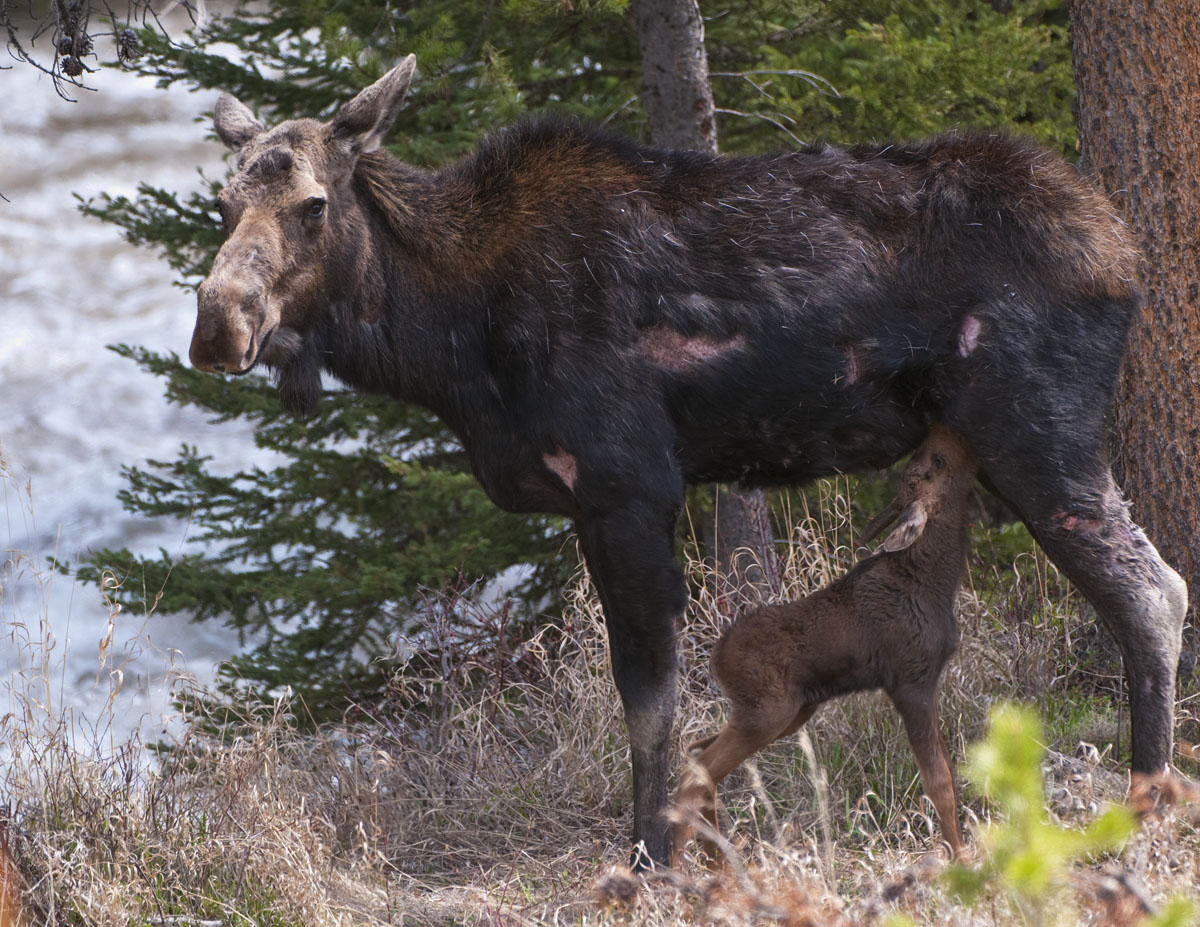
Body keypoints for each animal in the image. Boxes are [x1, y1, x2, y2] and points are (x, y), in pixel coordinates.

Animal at [676, 422, 974, 864]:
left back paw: (721, 867)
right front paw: (961, 859)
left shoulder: (927, 681)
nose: (946, 429)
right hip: (768, 712)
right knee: (695, 777)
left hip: (789, 711)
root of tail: (715, 658)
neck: (937, 582)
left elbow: (950, 770)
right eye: (935, 462)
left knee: (697, 754)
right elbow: (939, 782)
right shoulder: (909, 681)